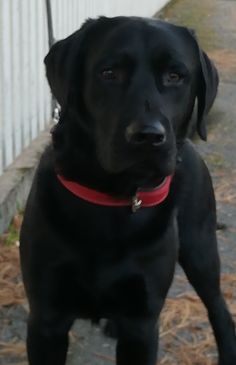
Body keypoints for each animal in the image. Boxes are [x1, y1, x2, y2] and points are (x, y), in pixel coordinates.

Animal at [20, 15, 236, 362]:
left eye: (175, 76)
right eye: (109, 73)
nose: (148, 137)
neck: (112, 200)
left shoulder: (142, 325)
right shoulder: (46, 320)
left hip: (200, 251)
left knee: (219, 309)